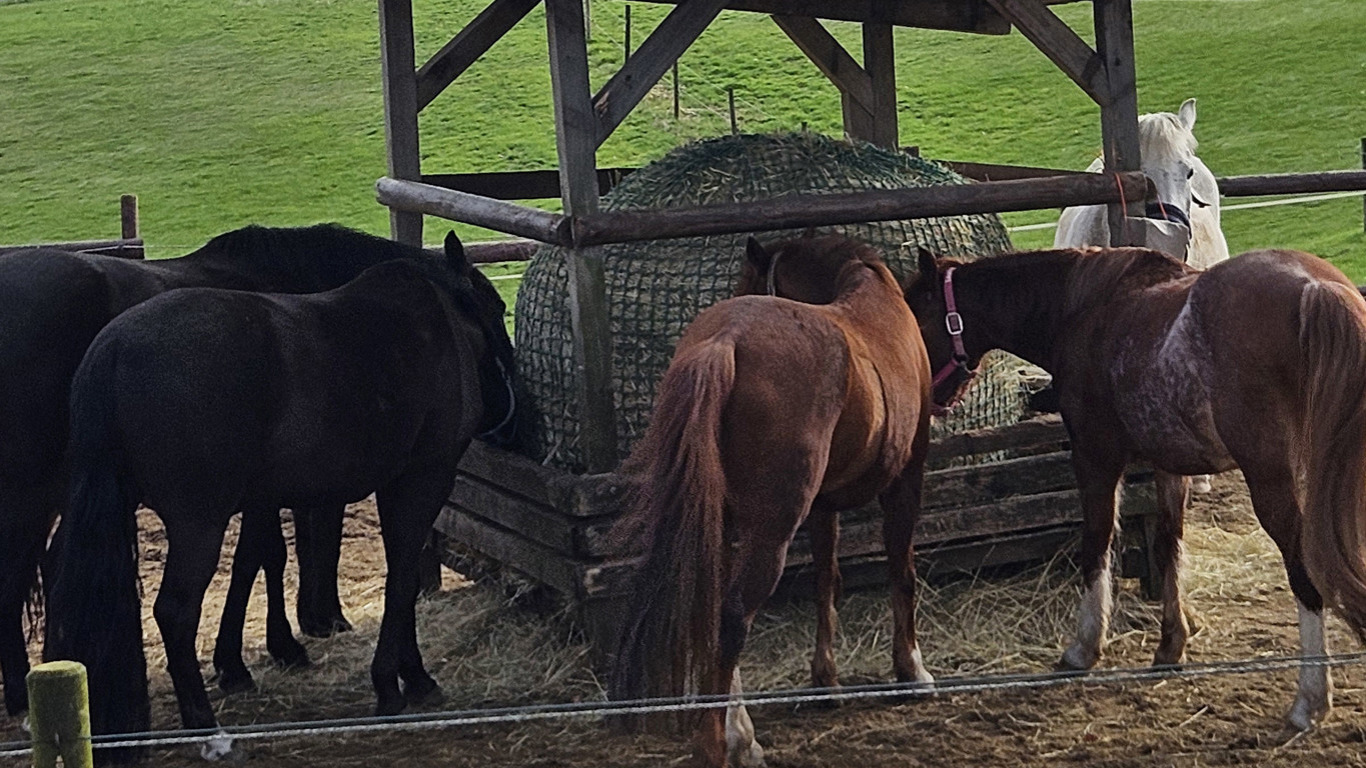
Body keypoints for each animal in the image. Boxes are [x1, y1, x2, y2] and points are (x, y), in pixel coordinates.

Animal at [43, 231, 515, 761]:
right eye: (497, 308)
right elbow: (401, 579)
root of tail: (112, 348)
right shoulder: (422, 478)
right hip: (198, 525)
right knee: (175, 612)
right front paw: (396, 683)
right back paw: (206, 728)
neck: (439, 323)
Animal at [610, 232, 933, 767]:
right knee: (733, 617)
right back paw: (720, 743)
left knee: (712, 612)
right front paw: (911, 669)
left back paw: (739, 731)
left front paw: (826, 680)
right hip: (770, 533)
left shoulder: (822, 506)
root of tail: (725, 342)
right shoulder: (906, 479)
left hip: (719, 525)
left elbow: (827, 581)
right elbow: (901, 572)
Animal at [905, 245, 1366, 732]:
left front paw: (1084, 647)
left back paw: (1309, 700)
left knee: (1304, 569)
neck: (1081, 309)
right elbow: (1168, 546)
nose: (921, 398)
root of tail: (1316, 286)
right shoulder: (1169, 465)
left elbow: (1096, 542)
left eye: (917, 318)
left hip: (1271, 481)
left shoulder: (1095, 456)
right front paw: (1171, 643)